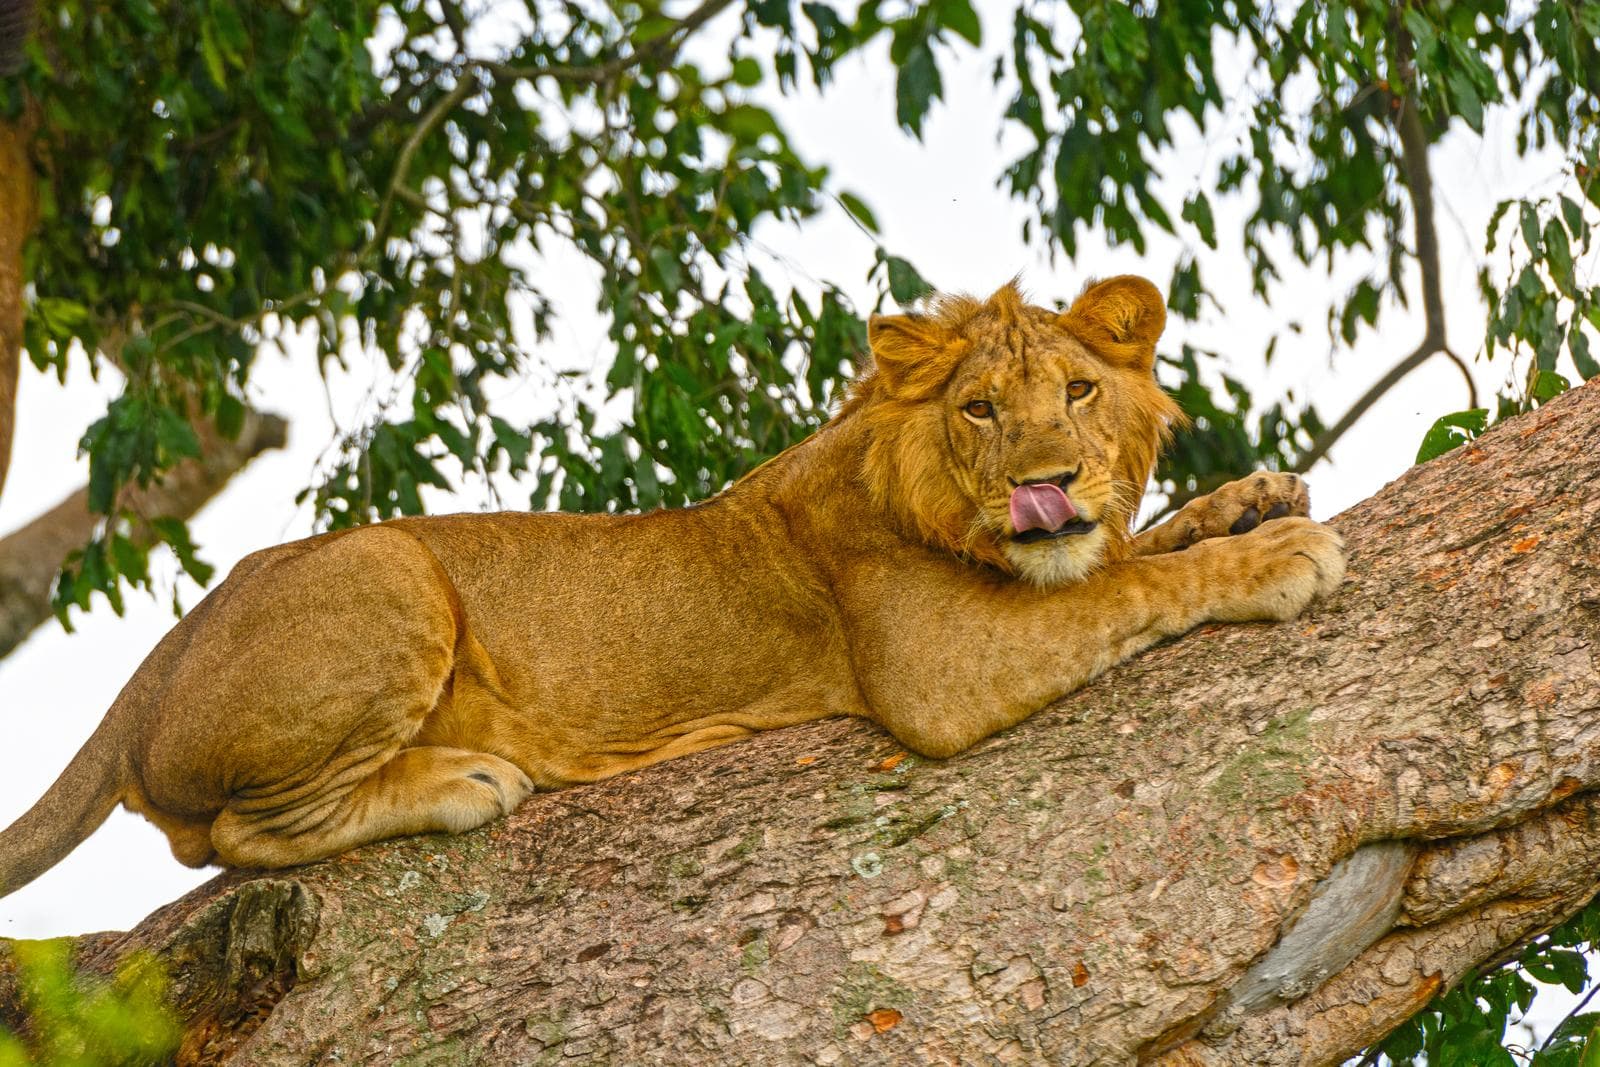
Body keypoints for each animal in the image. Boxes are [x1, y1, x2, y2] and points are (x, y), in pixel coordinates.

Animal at [0, 275, 1343, 894]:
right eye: (978, 408)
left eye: (1077, 391)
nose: (1046, 482)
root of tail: (155, 665)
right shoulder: (934, 673)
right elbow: (1121, 589)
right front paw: (1275, 555)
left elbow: (1133, 549)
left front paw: (1249, 496)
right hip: (389, 567)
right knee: (227, 836)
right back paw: (462, 779)